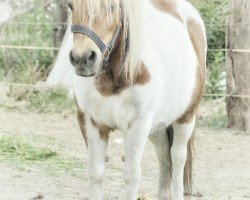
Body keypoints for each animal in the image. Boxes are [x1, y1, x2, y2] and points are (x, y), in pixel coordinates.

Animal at [68, 0, 207, 198]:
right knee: (164, 156)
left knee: (178, 158)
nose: (82, 58)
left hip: (186, 117)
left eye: (112, 6)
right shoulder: (90, 122)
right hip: (158, 126)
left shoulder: (138, 124)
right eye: (70, 5)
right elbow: (95, 174)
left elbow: (131, 176)